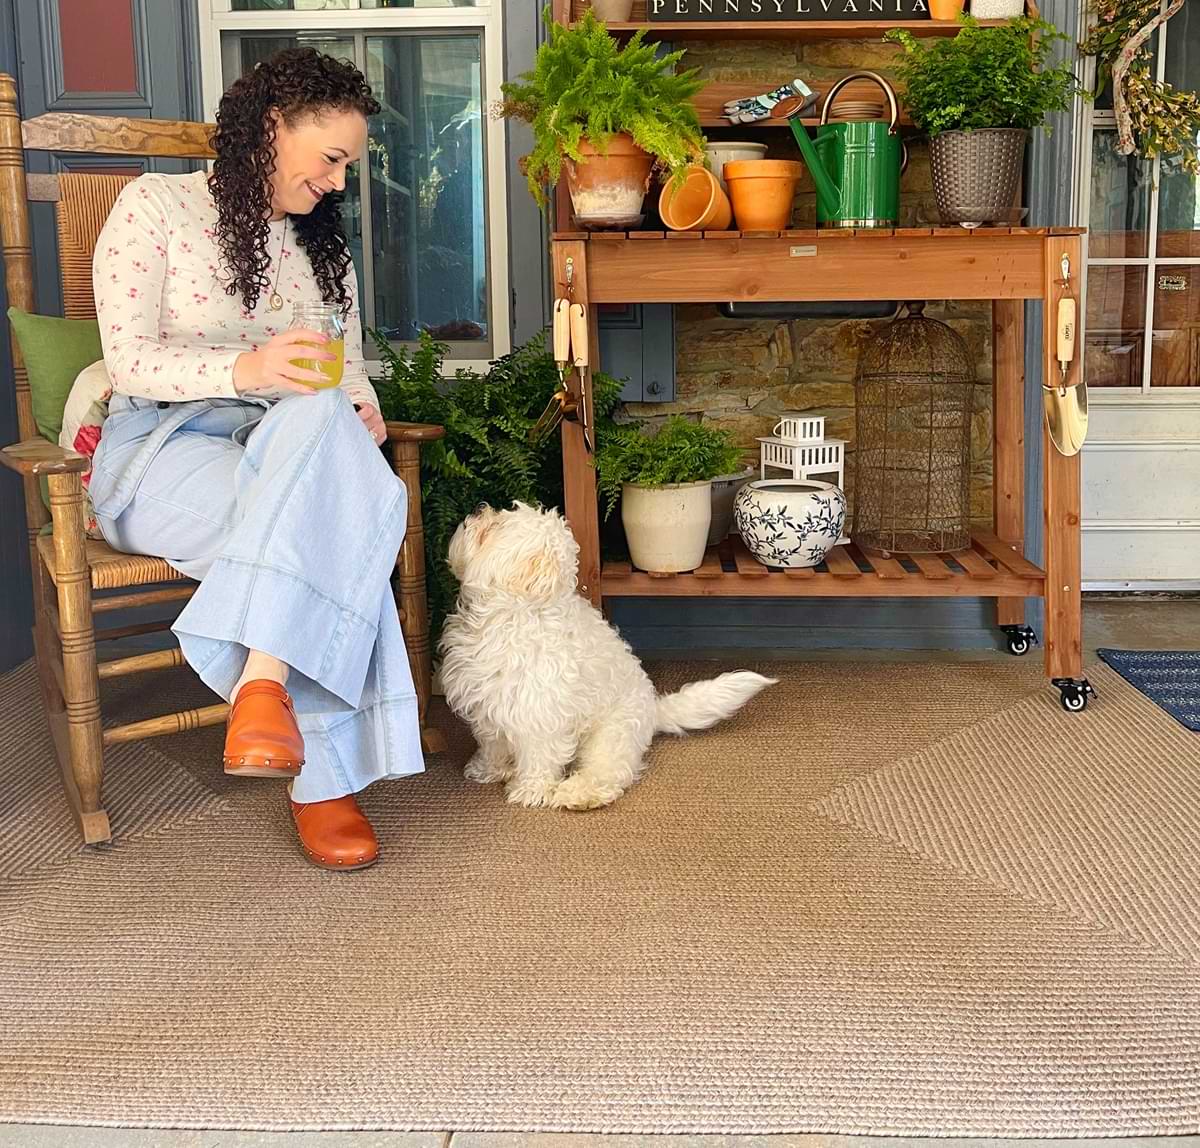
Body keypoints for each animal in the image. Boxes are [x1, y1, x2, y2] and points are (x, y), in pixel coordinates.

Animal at [444, 499, 777, 806]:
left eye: (496, 526)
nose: (478, 508)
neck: (512, 615)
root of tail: (653, 708)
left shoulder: (540, 712)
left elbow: (539, 757)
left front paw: (530, 790)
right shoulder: (489, 704)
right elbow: (493, 745)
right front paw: (487, 770)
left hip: (610, 736)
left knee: (609, 772)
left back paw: (579, 794)